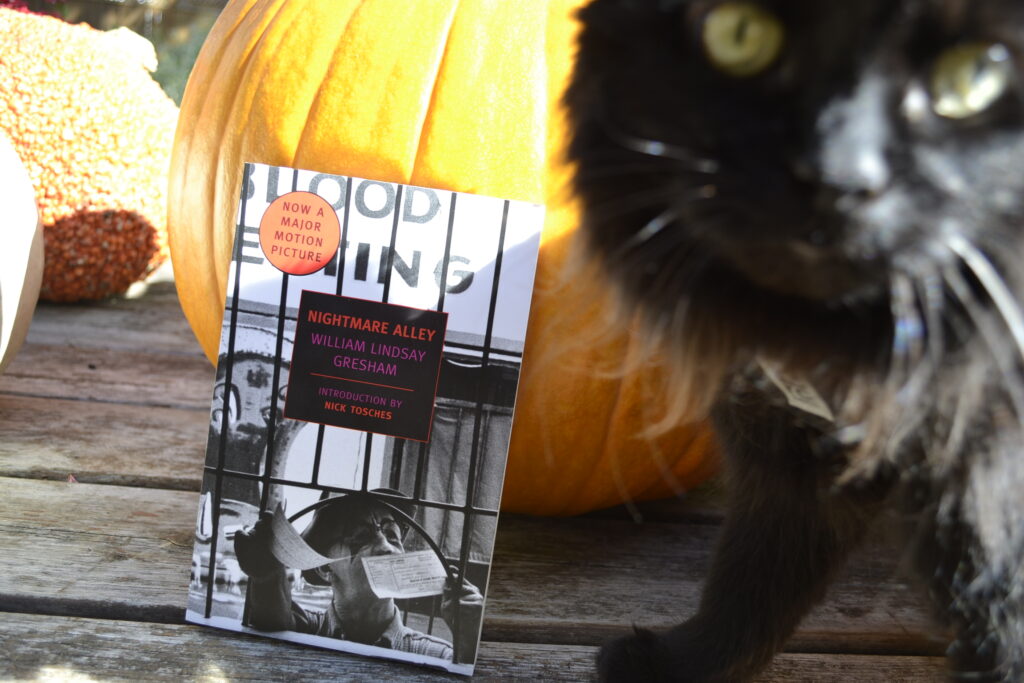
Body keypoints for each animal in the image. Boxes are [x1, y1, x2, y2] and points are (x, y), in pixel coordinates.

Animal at [569, 0, 1024, 679]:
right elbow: (750, 584)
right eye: (738, 36)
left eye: (975, 77)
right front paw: (683, 664)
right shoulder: (784, 451)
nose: (837, 178)